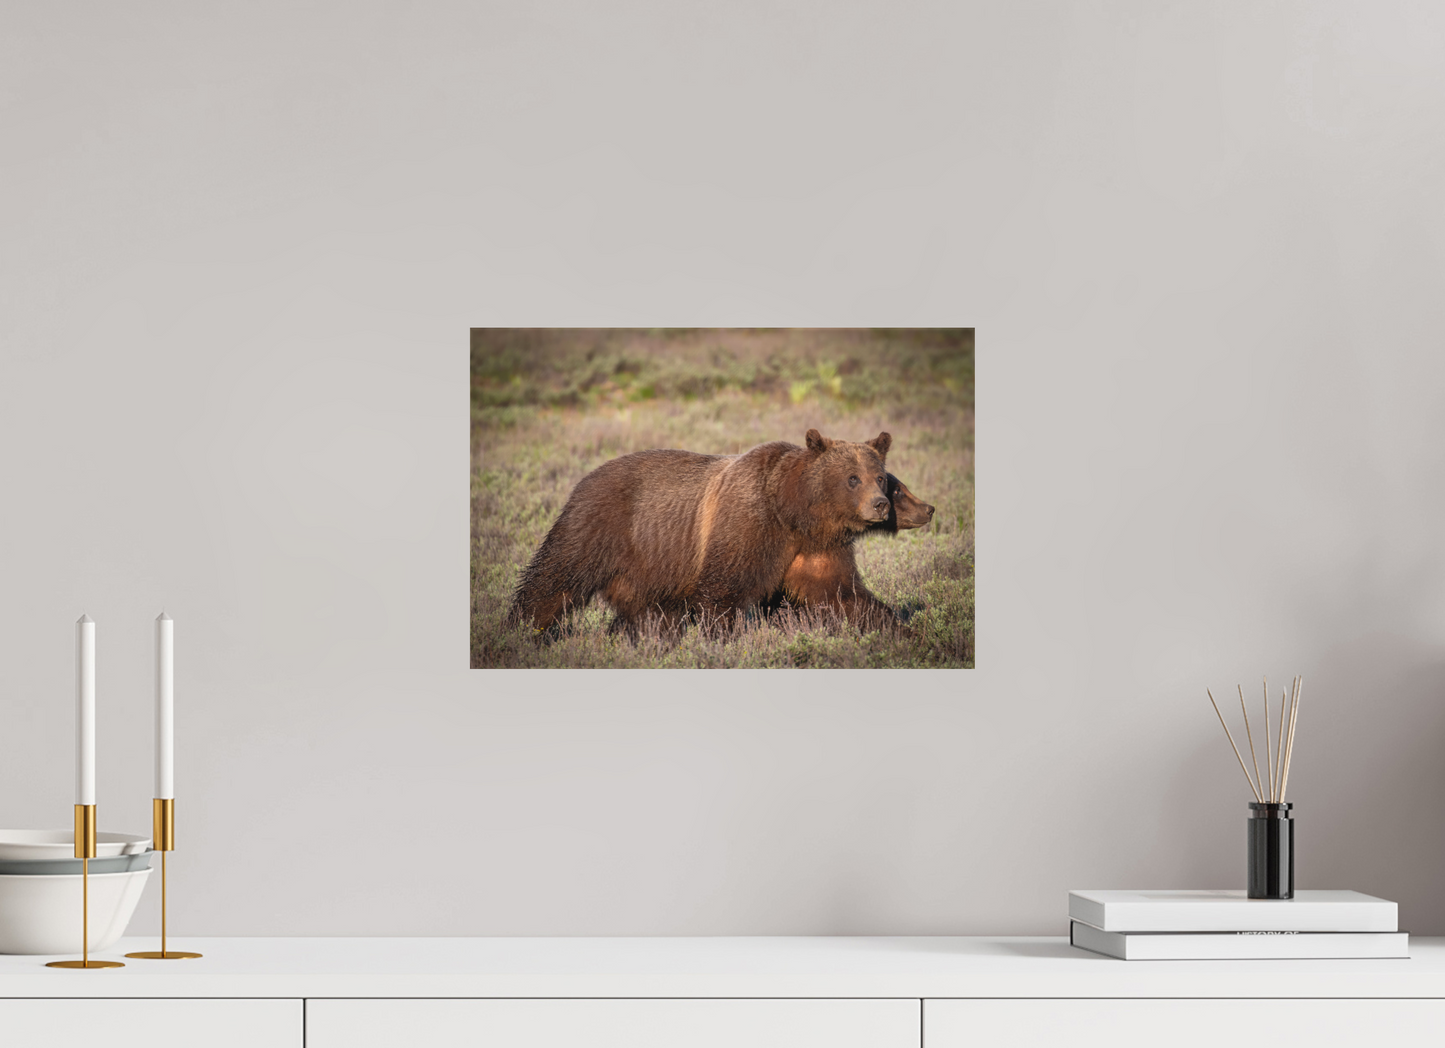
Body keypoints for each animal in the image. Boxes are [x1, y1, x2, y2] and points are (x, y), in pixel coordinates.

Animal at [508, 429, 896, 634]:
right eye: (852, 478)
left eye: (880, 477)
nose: (880, 505)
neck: (794, 513)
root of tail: (585, 477)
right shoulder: (748, 524)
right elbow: (722, 591)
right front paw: (724, 636)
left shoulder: (817, 549)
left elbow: (843, 595)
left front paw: (894, 626)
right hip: (599, 525)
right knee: (555, 577)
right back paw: (524, 629)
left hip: (646, 568)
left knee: (647, 612)